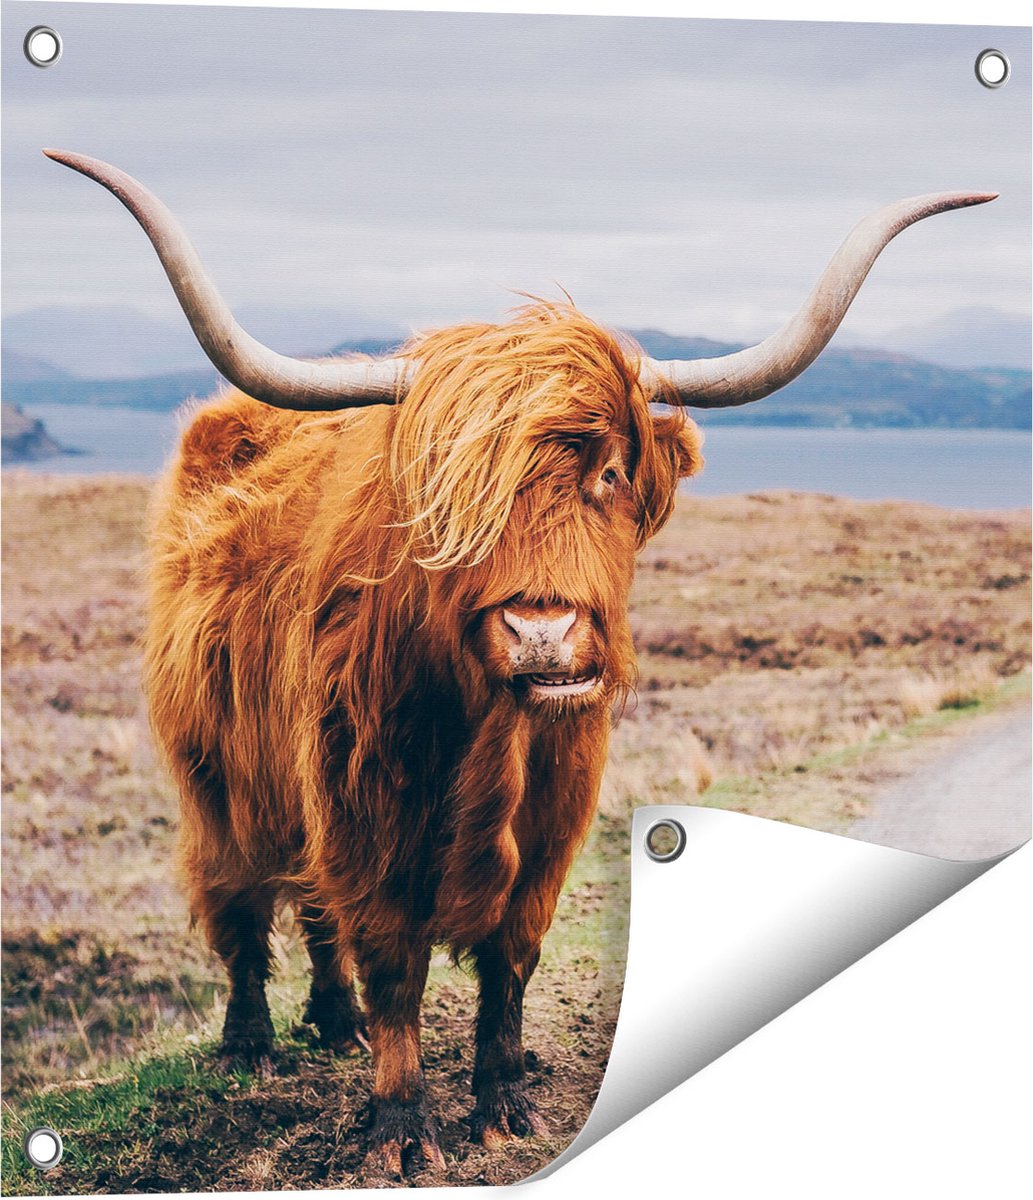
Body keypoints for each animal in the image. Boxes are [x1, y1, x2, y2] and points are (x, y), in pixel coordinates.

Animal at [45, 149, 993, 1175]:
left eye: (610, 471)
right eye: (452, 494)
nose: (542, 633)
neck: (487, 735)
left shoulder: (552, 817)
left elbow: (509, 958)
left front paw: (503, 1106)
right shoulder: (363, 806)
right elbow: (393, 961)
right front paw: (400, 1129)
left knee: (311, 909)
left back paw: (331, 1023)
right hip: (216, 772)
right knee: (243, 901)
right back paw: (252, 1043)